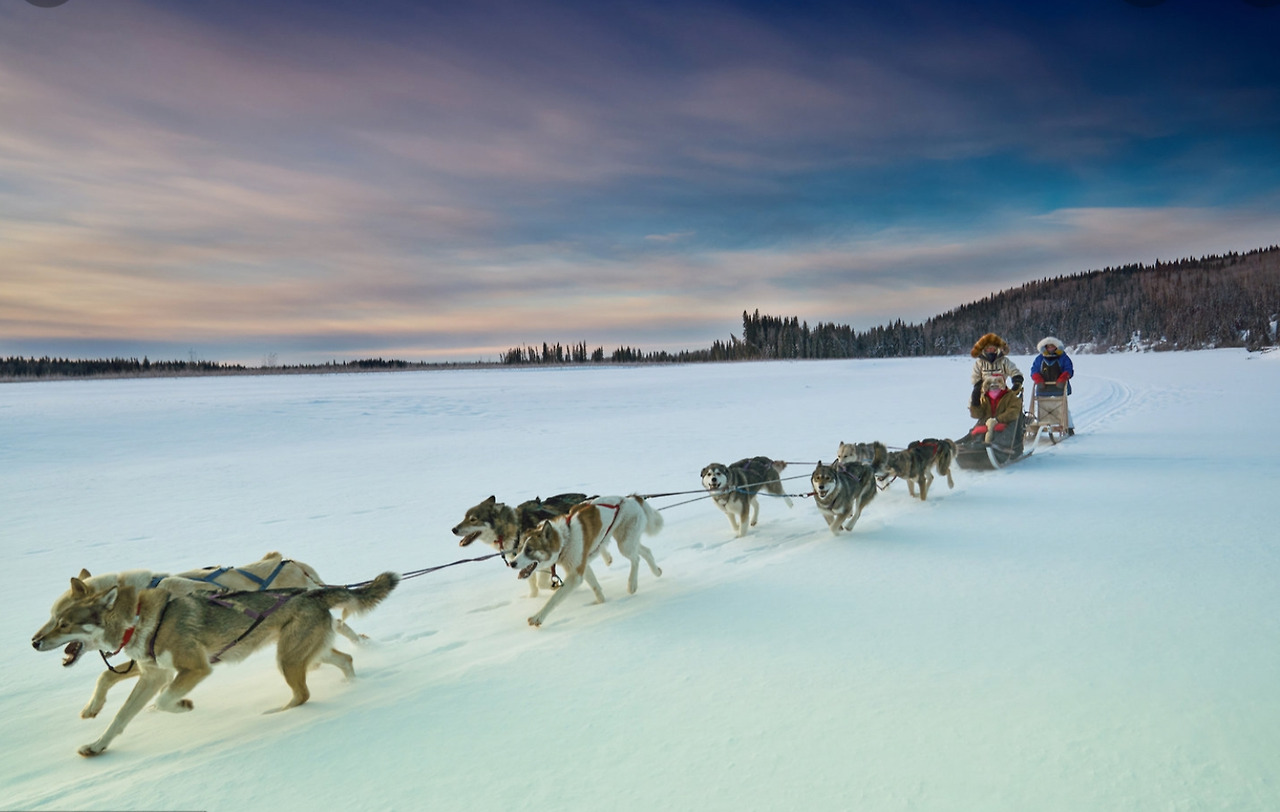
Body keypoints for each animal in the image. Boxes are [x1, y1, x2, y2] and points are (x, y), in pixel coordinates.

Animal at [35, 568, 396, 753]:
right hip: (301, 653)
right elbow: (121, 716)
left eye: (63, 623)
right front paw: (98, 745)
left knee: (303, 694)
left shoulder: (193, 669)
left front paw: (183, 706)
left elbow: (164, 700)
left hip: (287, 660)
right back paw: (353, 685)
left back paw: (277, 714)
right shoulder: (153, 675)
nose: (34, 642)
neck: (136, 618)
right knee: (345, 659)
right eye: (55, 619)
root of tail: (313, 591)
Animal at [450, 486, 599, 594]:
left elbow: (541, 583)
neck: (516, 530)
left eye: (473, 519)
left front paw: (555, 586)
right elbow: (533, 585)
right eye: (465, 517)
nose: (454, 529)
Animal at [501, 494, 665, 625]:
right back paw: (656, 571)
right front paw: (600, 602)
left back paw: (632, 584)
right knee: (646, 551)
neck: (565, 540)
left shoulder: (575, 575)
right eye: (519, 549)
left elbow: (554, 598)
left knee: (636, 558)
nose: (512, 563)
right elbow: (595, 587)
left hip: (625, 544)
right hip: (628, 541)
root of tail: (631, 498)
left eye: (529, 550)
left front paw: (538, 617)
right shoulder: (582, 566)